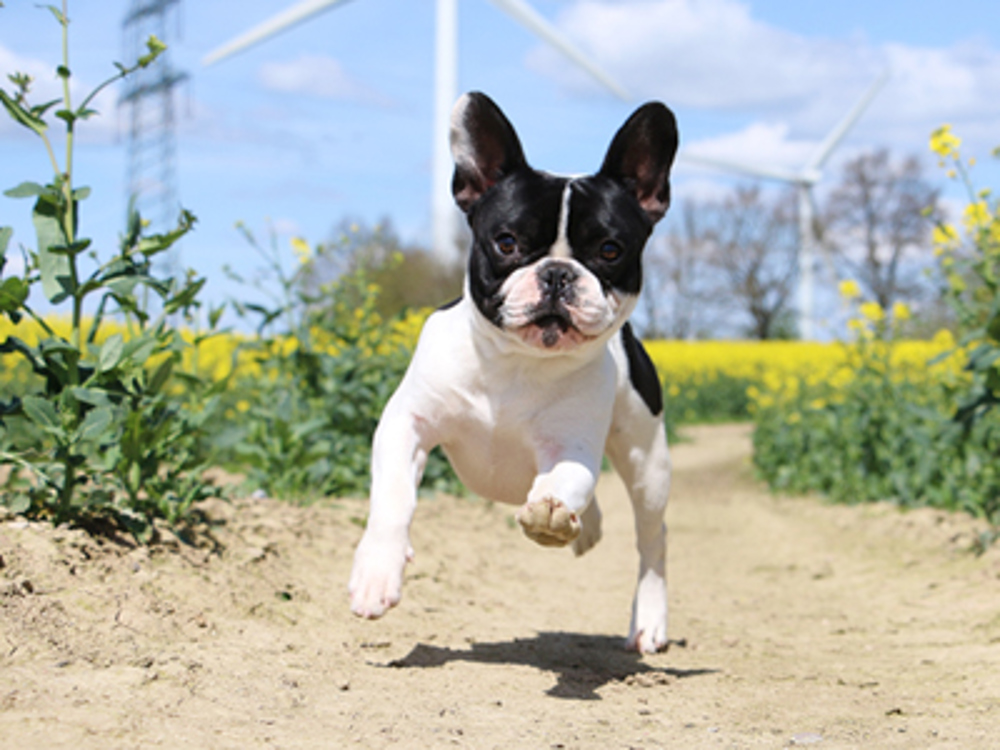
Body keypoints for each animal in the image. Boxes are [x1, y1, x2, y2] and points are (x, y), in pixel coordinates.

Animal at [350, 91, 680, 652]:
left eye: (610, 251)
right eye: (506, 242)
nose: (557, 274)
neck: (515, 363)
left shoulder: (570, 449)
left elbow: (565, 481)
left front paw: (551, 514)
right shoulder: (407, 424)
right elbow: (393, 497)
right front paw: (378, 570)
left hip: (648, 461)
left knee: (652, 543)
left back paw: (648, 620)